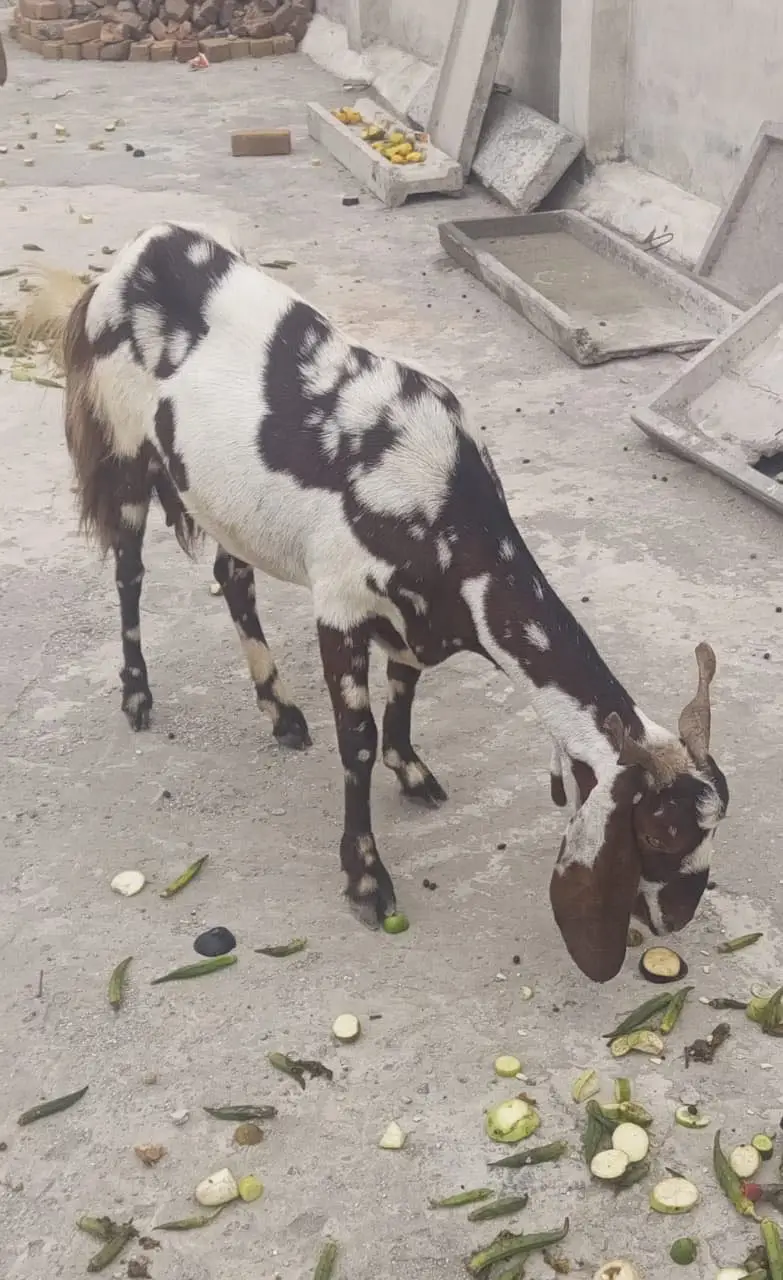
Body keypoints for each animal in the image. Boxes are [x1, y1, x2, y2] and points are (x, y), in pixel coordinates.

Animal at [20, 220, 729, 983]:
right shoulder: (340, 602)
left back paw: (280, 711)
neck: (445, 506)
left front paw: (410, 769)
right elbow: (355, 744)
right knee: (128, 570)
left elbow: (406, 689)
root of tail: (131, 256)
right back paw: (138, 694)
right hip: (121, 442)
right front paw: (365, 878)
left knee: (231, 575)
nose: (675, 917)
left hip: (222, 498)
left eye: (712, 818)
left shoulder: (414, 619)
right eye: (659, 828)